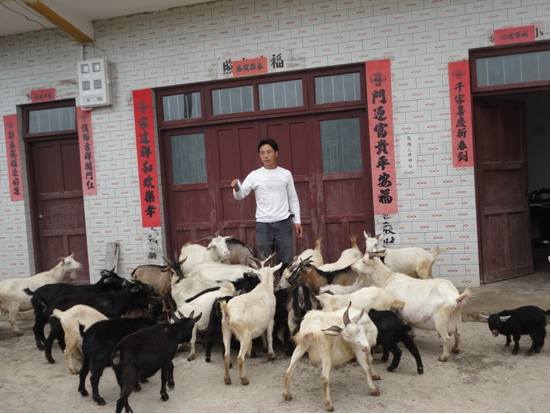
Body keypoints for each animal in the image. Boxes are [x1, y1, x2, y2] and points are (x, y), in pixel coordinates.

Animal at [220, 256, 281, 385]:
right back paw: (244, 379)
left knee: (226, 356)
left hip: (226, 331)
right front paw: (271, 354)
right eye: (274, 276)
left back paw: (227, 379)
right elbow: (269, 336)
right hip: (245, 335)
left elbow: (263, 335)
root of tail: (228, 312)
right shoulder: (270, 319)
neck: (264, 287)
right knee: (240, 358)